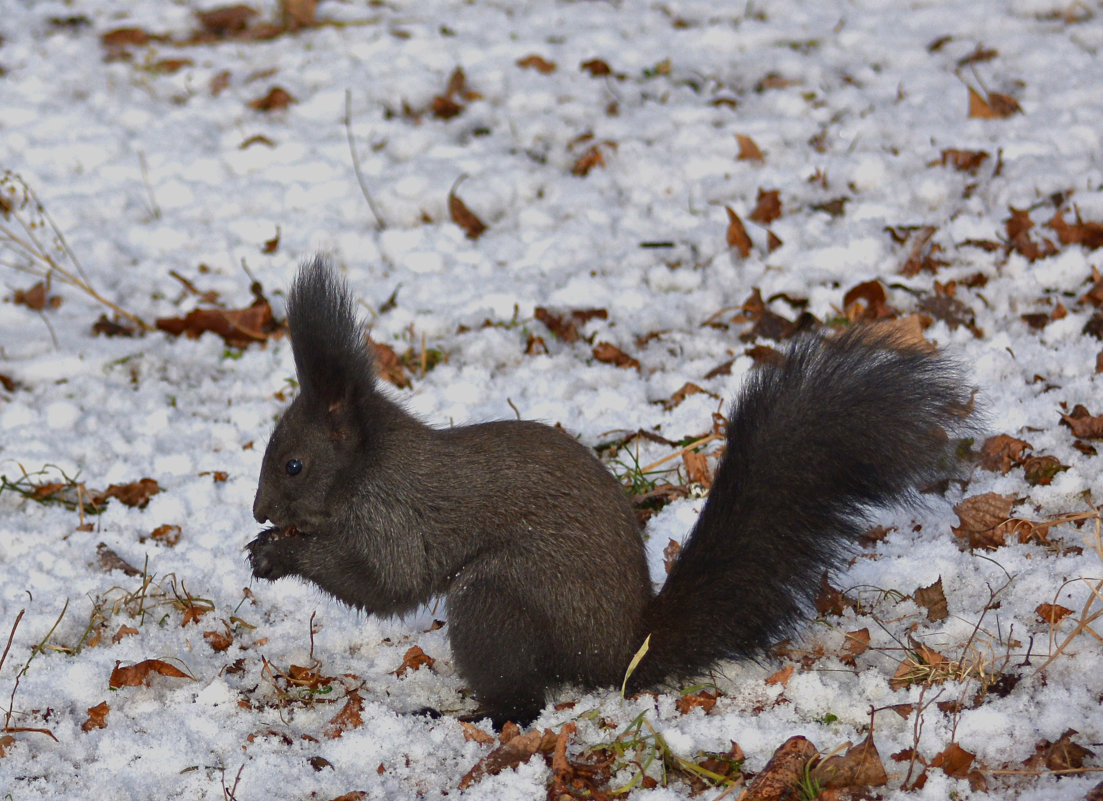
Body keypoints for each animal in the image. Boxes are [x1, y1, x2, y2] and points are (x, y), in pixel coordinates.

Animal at [248, 257, 975, 728]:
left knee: (521, 702)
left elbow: (389, 582)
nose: (257, 511)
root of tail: (625, 649)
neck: (371, 465)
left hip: (496, 596)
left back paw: (467, 715)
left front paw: (279, 553)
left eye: (293, 464)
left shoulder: (400, 513)